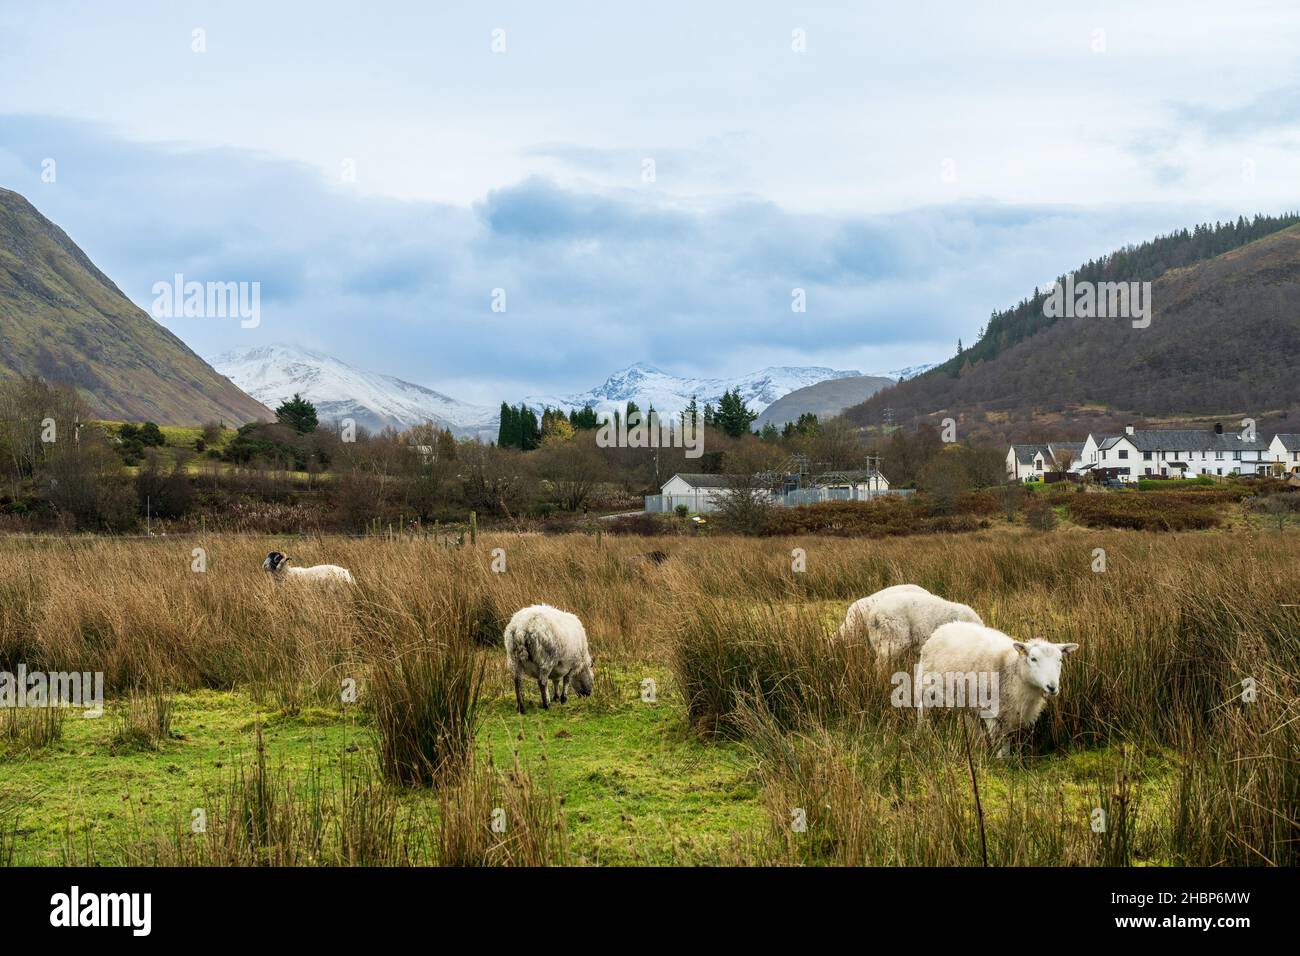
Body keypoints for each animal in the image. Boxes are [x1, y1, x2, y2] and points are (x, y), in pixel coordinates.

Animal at [915, 621, 1076, 764]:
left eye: (1060, 660)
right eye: (1033, 659)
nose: (1052, 687)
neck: (1012, 671)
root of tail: (944, 627)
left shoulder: (1010, 712)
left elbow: (1007, 737)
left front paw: (1005, 758)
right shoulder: (990, 711)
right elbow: (998, 737)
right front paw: (1000, 762)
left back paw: (976, 745)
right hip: (926, 687)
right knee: (923, 712)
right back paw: (922, 735)